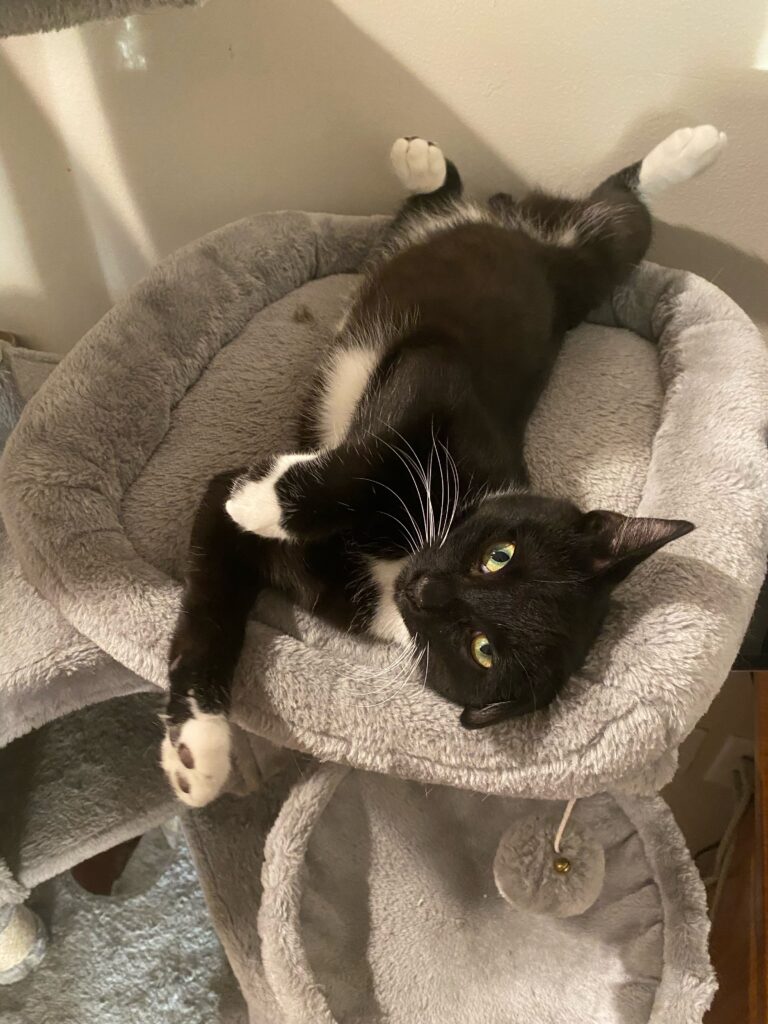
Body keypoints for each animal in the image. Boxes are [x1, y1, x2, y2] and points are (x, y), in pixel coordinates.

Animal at [160, 123, 729, 802]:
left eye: (482, 649)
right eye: (499, 555)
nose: (429, 589)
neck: (397, 553)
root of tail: (505, 217)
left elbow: (219, 592)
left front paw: (196, 754)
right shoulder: (437, 382)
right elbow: (363, 458)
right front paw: (257, 496)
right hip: (581, 258)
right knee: (619, 214)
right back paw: (685, 148)